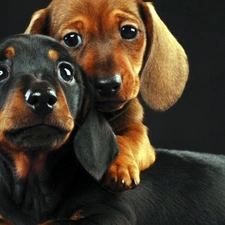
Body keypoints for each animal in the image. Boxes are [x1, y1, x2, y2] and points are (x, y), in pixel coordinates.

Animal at [25, 0, 189, 192]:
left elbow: (128, 137)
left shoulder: (139, 133)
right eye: (71, 39)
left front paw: (118, 164)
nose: (108, 84)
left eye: (129, 31)